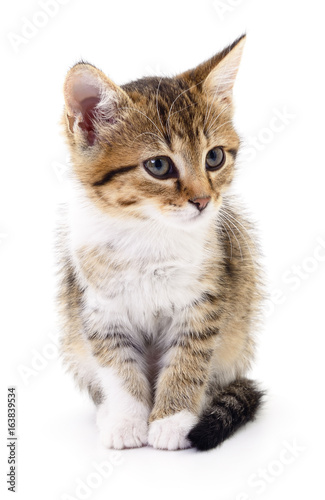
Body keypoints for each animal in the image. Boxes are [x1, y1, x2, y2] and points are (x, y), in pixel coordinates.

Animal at [58, 33, 264, 452]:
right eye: (158, 165)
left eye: (214, 157)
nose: (203, 200)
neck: (149, 232)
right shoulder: (100, 307)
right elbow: (117, 366)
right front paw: (126, 420)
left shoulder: (204, 299)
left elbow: (188, 358)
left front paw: (173, 420)